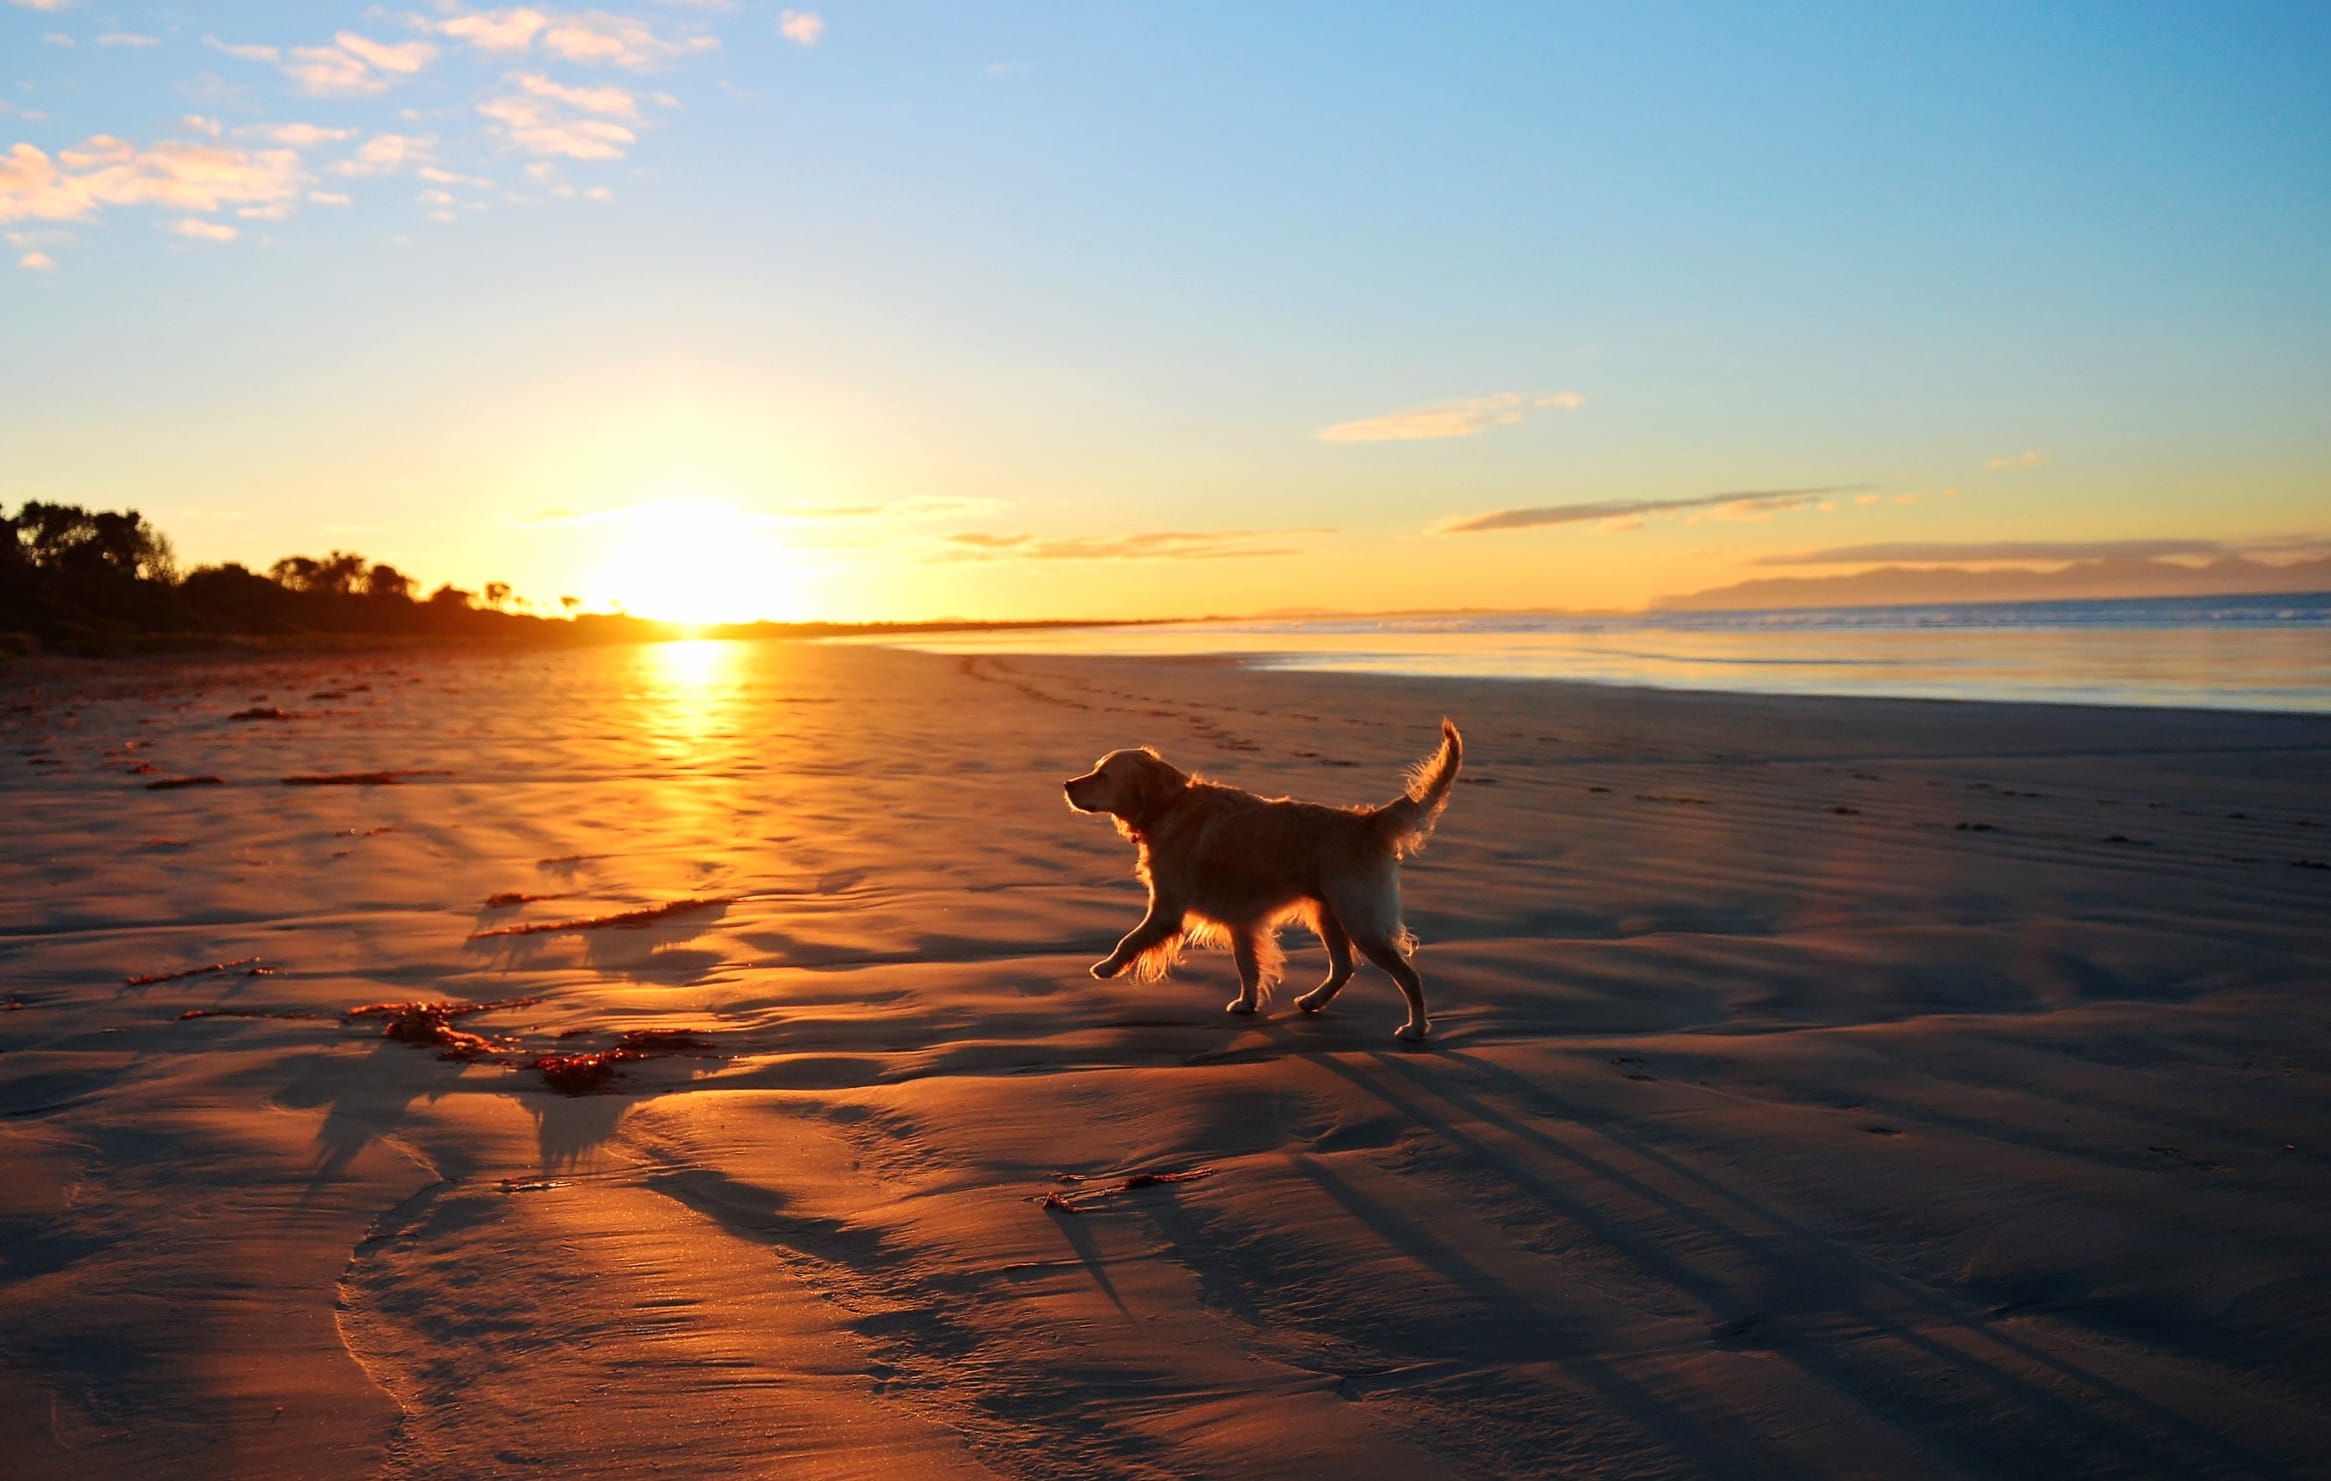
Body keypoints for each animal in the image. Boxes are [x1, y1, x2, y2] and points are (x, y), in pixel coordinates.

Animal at [1067, 718, 1463, 1044]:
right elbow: (1247, 966)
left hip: (1360, 919)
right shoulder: (1240, 920)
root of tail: (1368, 821)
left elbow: (1130, 940)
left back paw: (1416, 1028)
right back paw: (1313, 1000)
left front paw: (1106, 967)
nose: (1067, 783)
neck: (1168, 805)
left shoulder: (1166, 909)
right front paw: (1247, 1002)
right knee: (1343, 967)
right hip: (1328, 914)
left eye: (1102, 774)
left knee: (1408, 976)